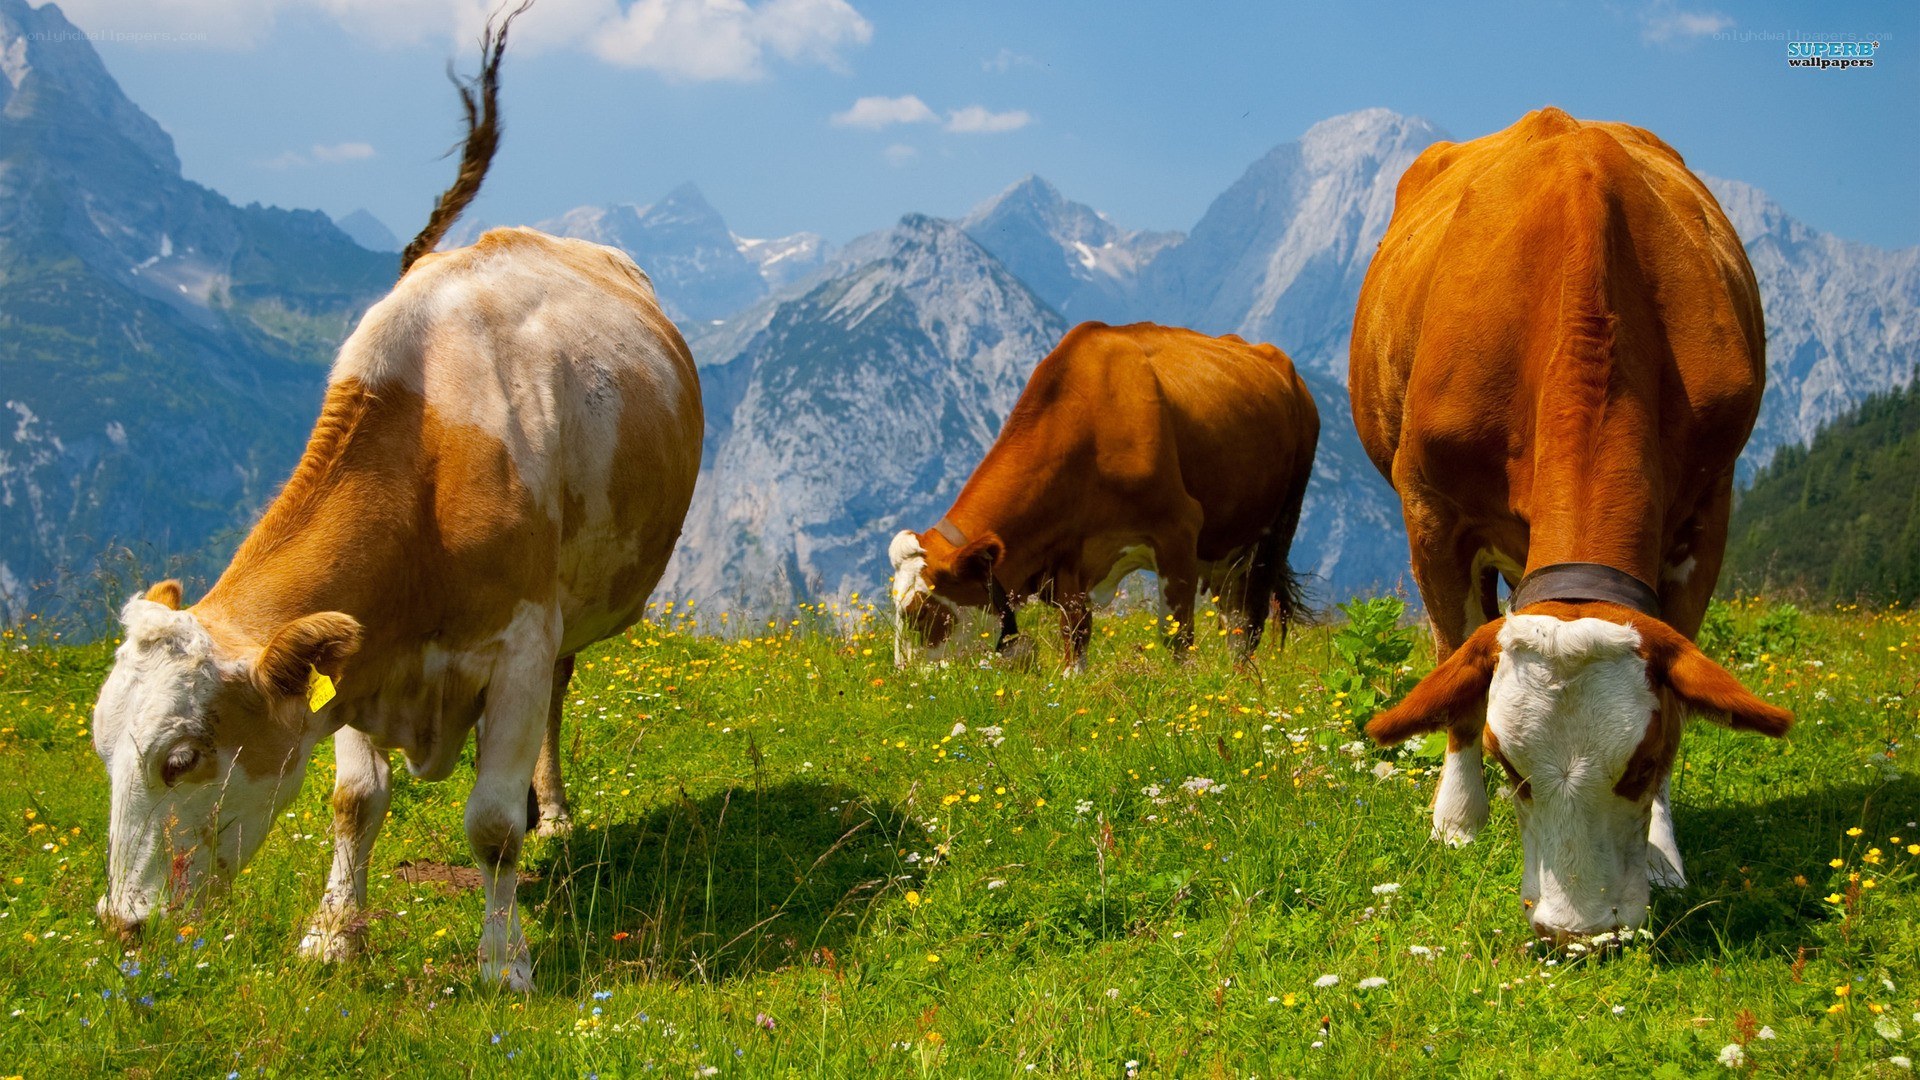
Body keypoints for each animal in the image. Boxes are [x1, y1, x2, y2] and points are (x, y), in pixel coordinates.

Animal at [90, 8, 704, 991]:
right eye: (103, 746)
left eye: (181, 757)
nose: (125, 925)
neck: (427, 474)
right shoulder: (356, 656)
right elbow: (353, 799)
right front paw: (333, 935)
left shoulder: (520, 644)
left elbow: (491, 826)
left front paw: (503, 962)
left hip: (567, 615)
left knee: (557, 703)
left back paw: (555, 810)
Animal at [890, 321, 1319, 670]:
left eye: (919, 613)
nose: (905, 678)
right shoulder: (1068, 556)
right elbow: (1075, 635)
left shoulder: (1178, 530)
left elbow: (1177, 636)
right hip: (1225, 549)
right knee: (1233, 620)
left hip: (1277, 530)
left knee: (1249, 623)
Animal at [1349, 108, 1792, 941]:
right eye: (1511, 766)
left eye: (1644, 763)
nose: (1579, 931)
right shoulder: (1430, 511)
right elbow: (1457, 665)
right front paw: (1459, 818)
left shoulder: (1707, 511)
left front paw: (1663, 853)